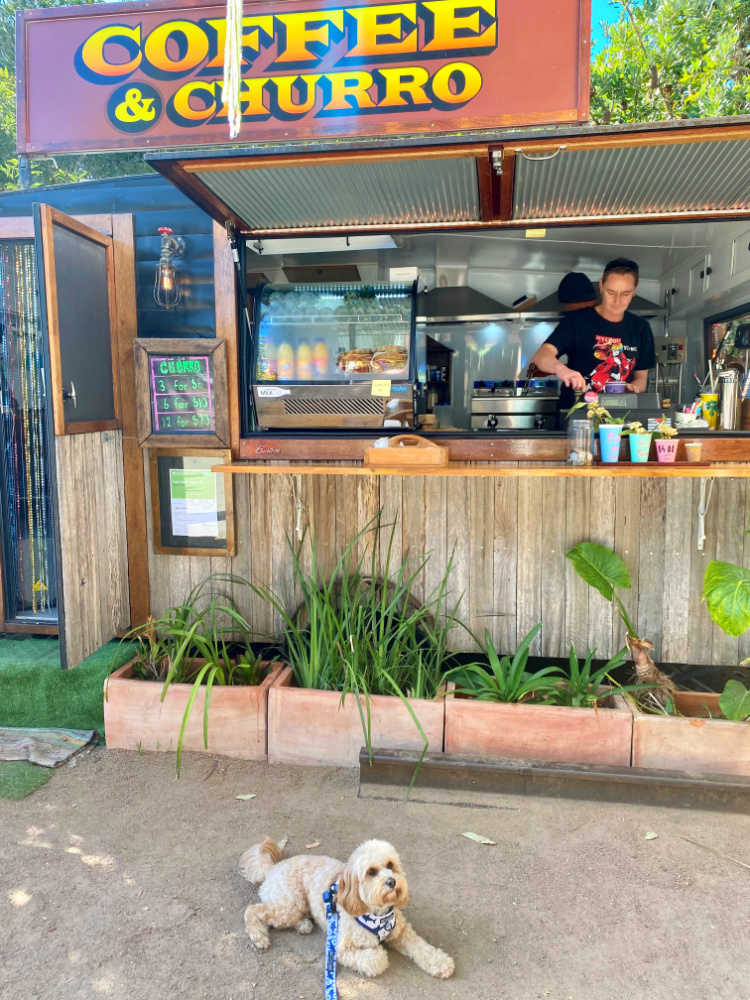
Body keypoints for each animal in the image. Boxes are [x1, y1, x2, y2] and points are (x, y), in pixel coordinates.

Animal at [238, 836, 456, 976]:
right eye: (371, 872)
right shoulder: (341, 949)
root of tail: (273, 867)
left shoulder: (401, 932)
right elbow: (377, 959)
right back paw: (259, 936)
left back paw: (303, 924)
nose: (392, 881)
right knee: (253, 910)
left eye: (390, 865)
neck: (376, 913)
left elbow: (422, 947)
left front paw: (441, 962)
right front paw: (378, 952)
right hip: (290, 902)